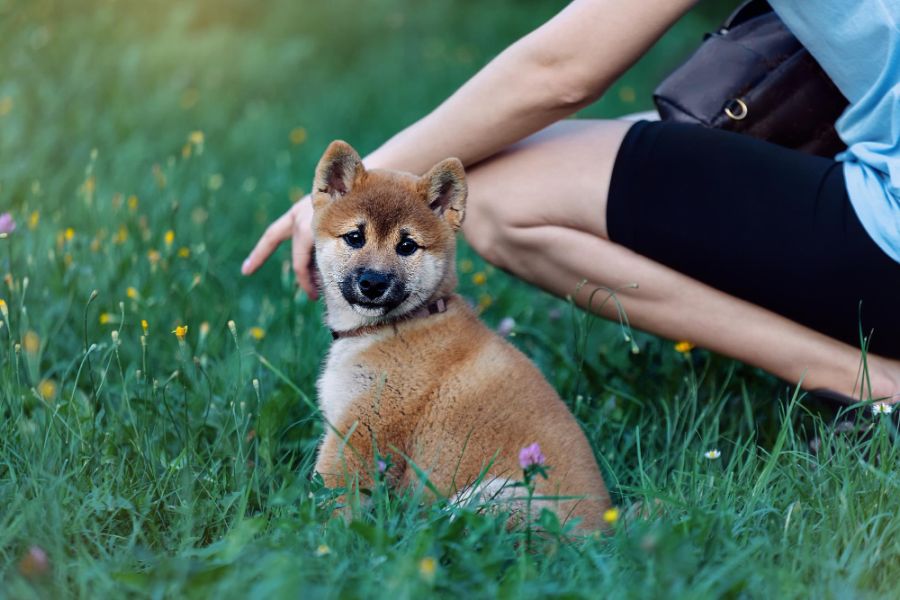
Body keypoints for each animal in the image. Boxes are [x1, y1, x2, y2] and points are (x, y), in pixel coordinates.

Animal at [312, 139, 612, 528]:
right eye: (354, 237)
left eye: (407, 246)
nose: (373, 283)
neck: (403, 323)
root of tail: (602, 532)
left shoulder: (362, 431)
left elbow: (329, 498)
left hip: (488, 498)